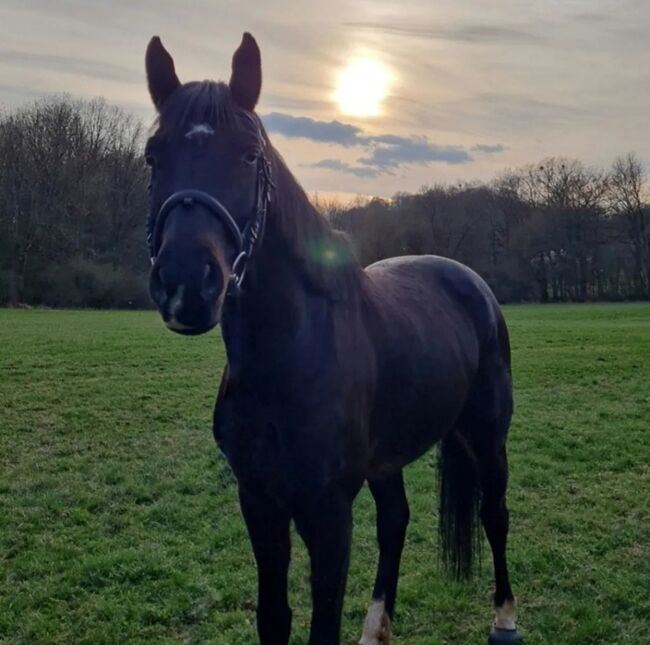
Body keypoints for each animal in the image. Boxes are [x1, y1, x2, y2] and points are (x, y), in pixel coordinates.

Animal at [144, 35, 520, 644]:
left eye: (250, 156)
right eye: (153, 155)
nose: (185, 284)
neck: (285, 359)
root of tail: (471, 283)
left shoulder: (327, 511)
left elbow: (322, 622)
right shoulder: (260, 501)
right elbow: (274, 617)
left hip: (487, 435)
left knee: (494, 515)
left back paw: (505, 618)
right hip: (390, 459)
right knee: (396, 522)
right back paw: (376, 627)